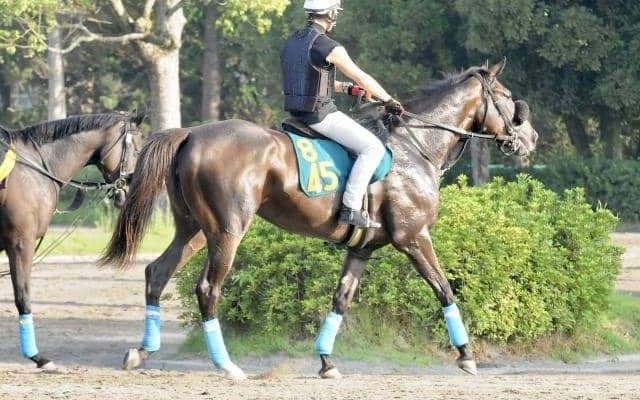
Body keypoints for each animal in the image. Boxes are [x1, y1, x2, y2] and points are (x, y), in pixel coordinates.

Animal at [0, 111, 144, 370]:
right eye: (137, 149)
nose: (131, 187)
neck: (34, 167)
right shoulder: (20, 244)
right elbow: (23, 298)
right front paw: (38, 358)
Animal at [102, 61, 539, 379]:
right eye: (507, 98)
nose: (530, 139)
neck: (417, 147)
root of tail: (192, 134)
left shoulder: (362, 250)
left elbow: (341, 298)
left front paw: (327, 361)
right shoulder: (415, 238)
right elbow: (444, 290)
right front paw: (466, 355)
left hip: (193, 230)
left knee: (157, 273)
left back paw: (142, 352)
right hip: (227, 232)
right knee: (208, 289)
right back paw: (226, 364)